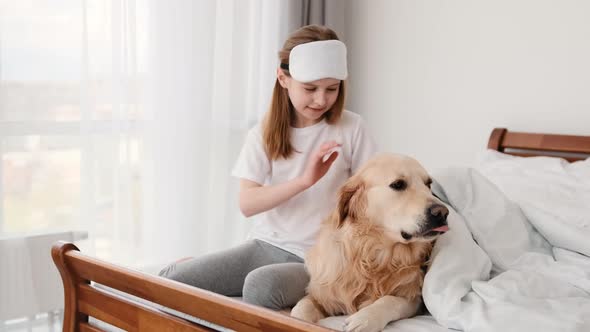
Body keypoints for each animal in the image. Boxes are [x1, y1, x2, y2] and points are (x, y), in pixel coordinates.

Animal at [294, 154, 450, 332]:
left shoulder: (414, 299)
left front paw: (365, 319)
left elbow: (389, 300)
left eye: (428, 184)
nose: (443, 212)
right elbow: (300, 310)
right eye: (398, 184)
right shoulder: (321, 294)